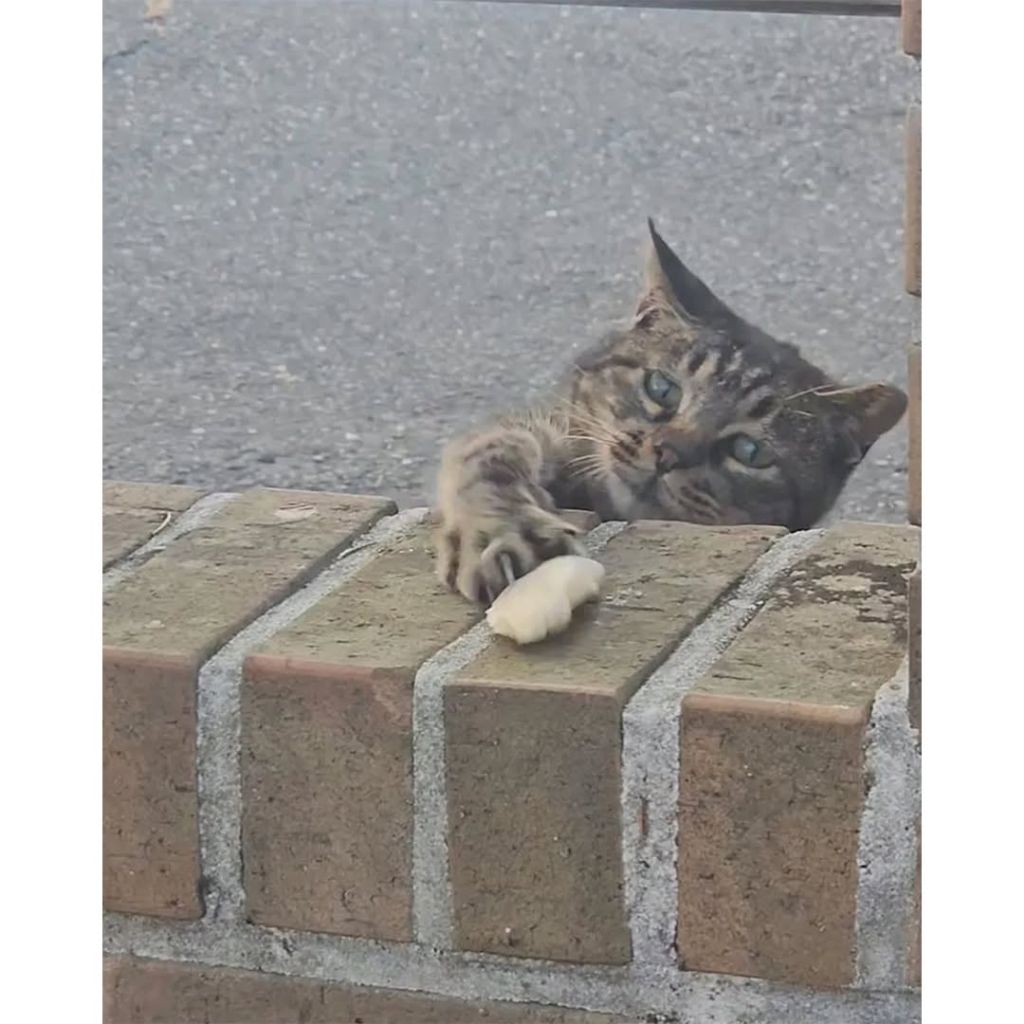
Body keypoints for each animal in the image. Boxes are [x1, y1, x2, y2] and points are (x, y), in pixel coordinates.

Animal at [434, 219, 907, 605]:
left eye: (750, 451)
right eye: (661, 389)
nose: (667, 455)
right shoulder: (545, 429)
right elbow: (493, 451)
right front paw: (503, 529)